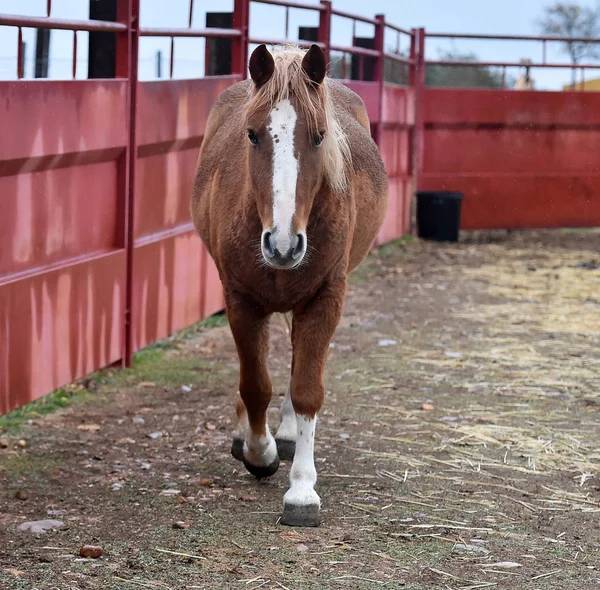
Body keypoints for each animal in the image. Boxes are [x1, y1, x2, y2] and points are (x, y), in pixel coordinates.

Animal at [192, 45, 390, 528]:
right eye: (252, 135)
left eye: (319, 137)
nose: (283, 244)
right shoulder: (240, 301)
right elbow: (254, 384)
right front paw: (258, 452)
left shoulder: (325, 300)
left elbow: (305, 390)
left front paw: (301, 490)